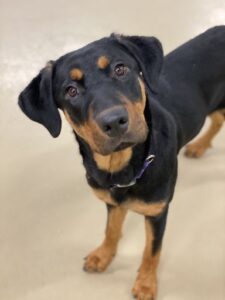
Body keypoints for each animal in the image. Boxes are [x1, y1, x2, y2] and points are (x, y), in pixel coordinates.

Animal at [18, 26, 225, 300]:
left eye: (120, 69)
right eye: (70, 90)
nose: (114, 121)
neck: (122, 167)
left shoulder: (157, 212)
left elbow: (152, 250)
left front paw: (146, 284)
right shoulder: (111, 201)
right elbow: (111, 229)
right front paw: (103, 256)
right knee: (218, 118)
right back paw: (200, 145)